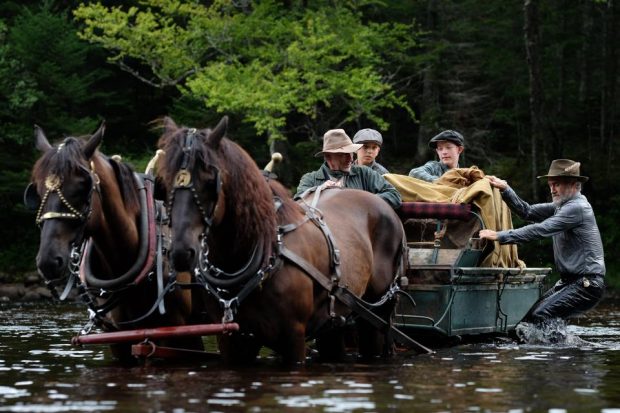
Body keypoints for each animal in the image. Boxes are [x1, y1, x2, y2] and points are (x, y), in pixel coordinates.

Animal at [155, 114, 406, 362]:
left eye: (210, 181)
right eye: (164, 184)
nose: (181, 251)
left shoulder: (293, 336)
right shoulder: (231, 339)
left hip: (377, 312)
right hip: (336, 320)